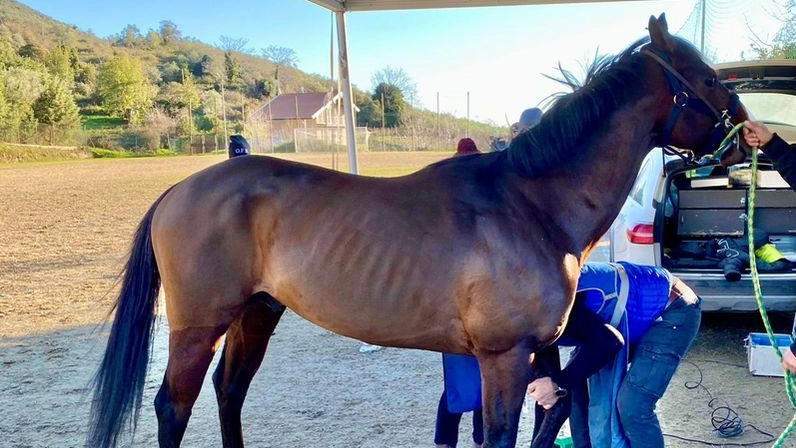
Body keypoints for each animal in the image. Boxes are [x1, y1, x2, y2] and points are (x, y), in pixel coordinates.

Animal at [90, 15, 748, 448]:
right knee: (174, 406)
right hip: (200, 324)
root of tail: (179, 190)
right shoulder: (504, 357)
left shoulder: (543, 347)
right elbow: (504, 434)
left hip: (257, 311)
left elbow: (560, 409)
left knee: (229, 392)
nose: (747, 135)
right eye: (710, 78)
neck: (532, 203)